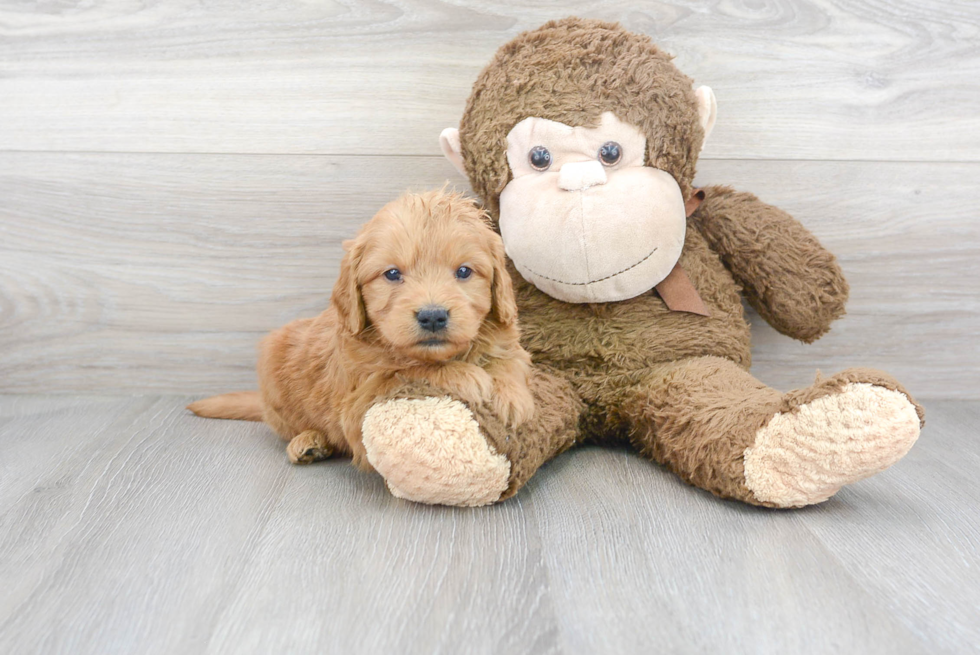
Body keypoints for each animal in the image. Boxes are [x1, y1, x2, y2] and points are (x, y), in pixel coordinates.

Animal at [187, 187, 532, 468]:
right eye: (392, 274)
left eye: (463, 271)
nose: (433, 316)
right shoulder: (359, 402)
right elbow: (406, 371)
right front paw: (465, 375)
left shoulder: (507, 343)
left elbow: (507, 362)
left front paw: (511, 396)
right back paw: (308, 441)